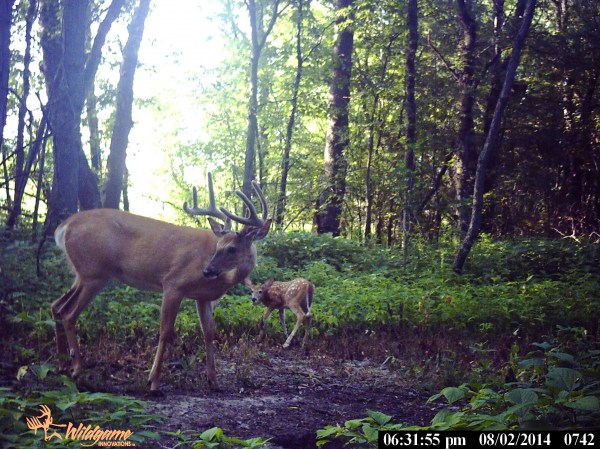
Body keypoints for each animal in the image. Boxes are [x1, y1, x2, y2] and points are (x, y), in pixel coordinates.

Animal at [51, 173, 272, 390]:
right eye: (219, 246)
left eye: (232, 248)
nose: (207, 270)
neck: (223, 279)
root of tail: (63, 227)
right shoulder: (173, 284)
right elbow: (166, 331)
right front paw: (154, 381)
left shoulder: (203, 298)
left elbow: (209, 332)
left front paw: (214, 381)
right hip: (93, 273)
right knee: (69, 313)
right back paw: (77, 370)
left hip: (85, 274)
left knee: (57, 306)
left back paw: (62, 365)